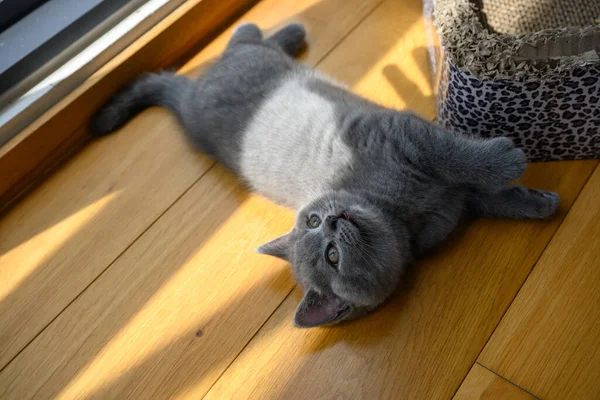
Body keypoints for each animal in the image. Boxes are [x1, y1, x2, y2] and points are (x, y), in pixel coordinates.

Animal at [91, 22, 560, 328]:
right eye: (331, 256)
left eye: (313, 220)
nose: (333, 221)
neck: (403, 215)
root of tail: (186, 104)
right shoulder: (444, 193)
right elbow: (483, 194)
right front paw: (534, 198)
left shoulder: (400, 134)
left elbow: (455, 156)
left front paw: (506, 163)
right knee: (241, 45)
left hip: (250, 66)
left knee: (241, 40)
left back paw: (288, 30)